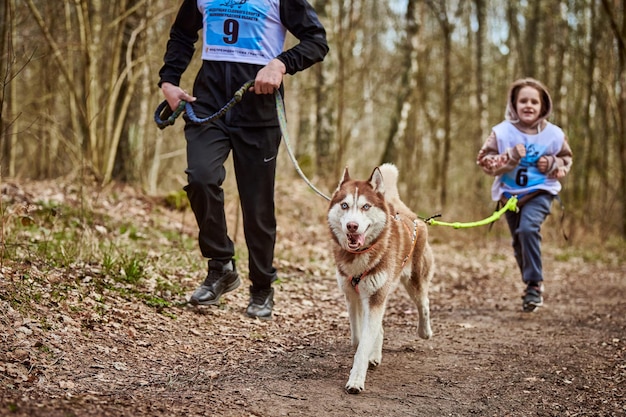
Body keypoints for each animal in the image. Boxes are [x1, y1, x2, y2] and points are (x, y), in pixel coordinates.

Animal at [324, 162, 432, 394]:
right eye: (344, 205)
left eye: (366, 206)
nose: (352, 226)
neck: (359, 256)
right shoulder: (352, 295)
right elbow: (359, 338)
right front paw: (367, 356)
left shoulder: (375, 297)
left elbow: (364, 343)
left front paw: (356, 380)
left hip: (414, 281)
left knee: (424, 303)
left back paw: (425, 331)